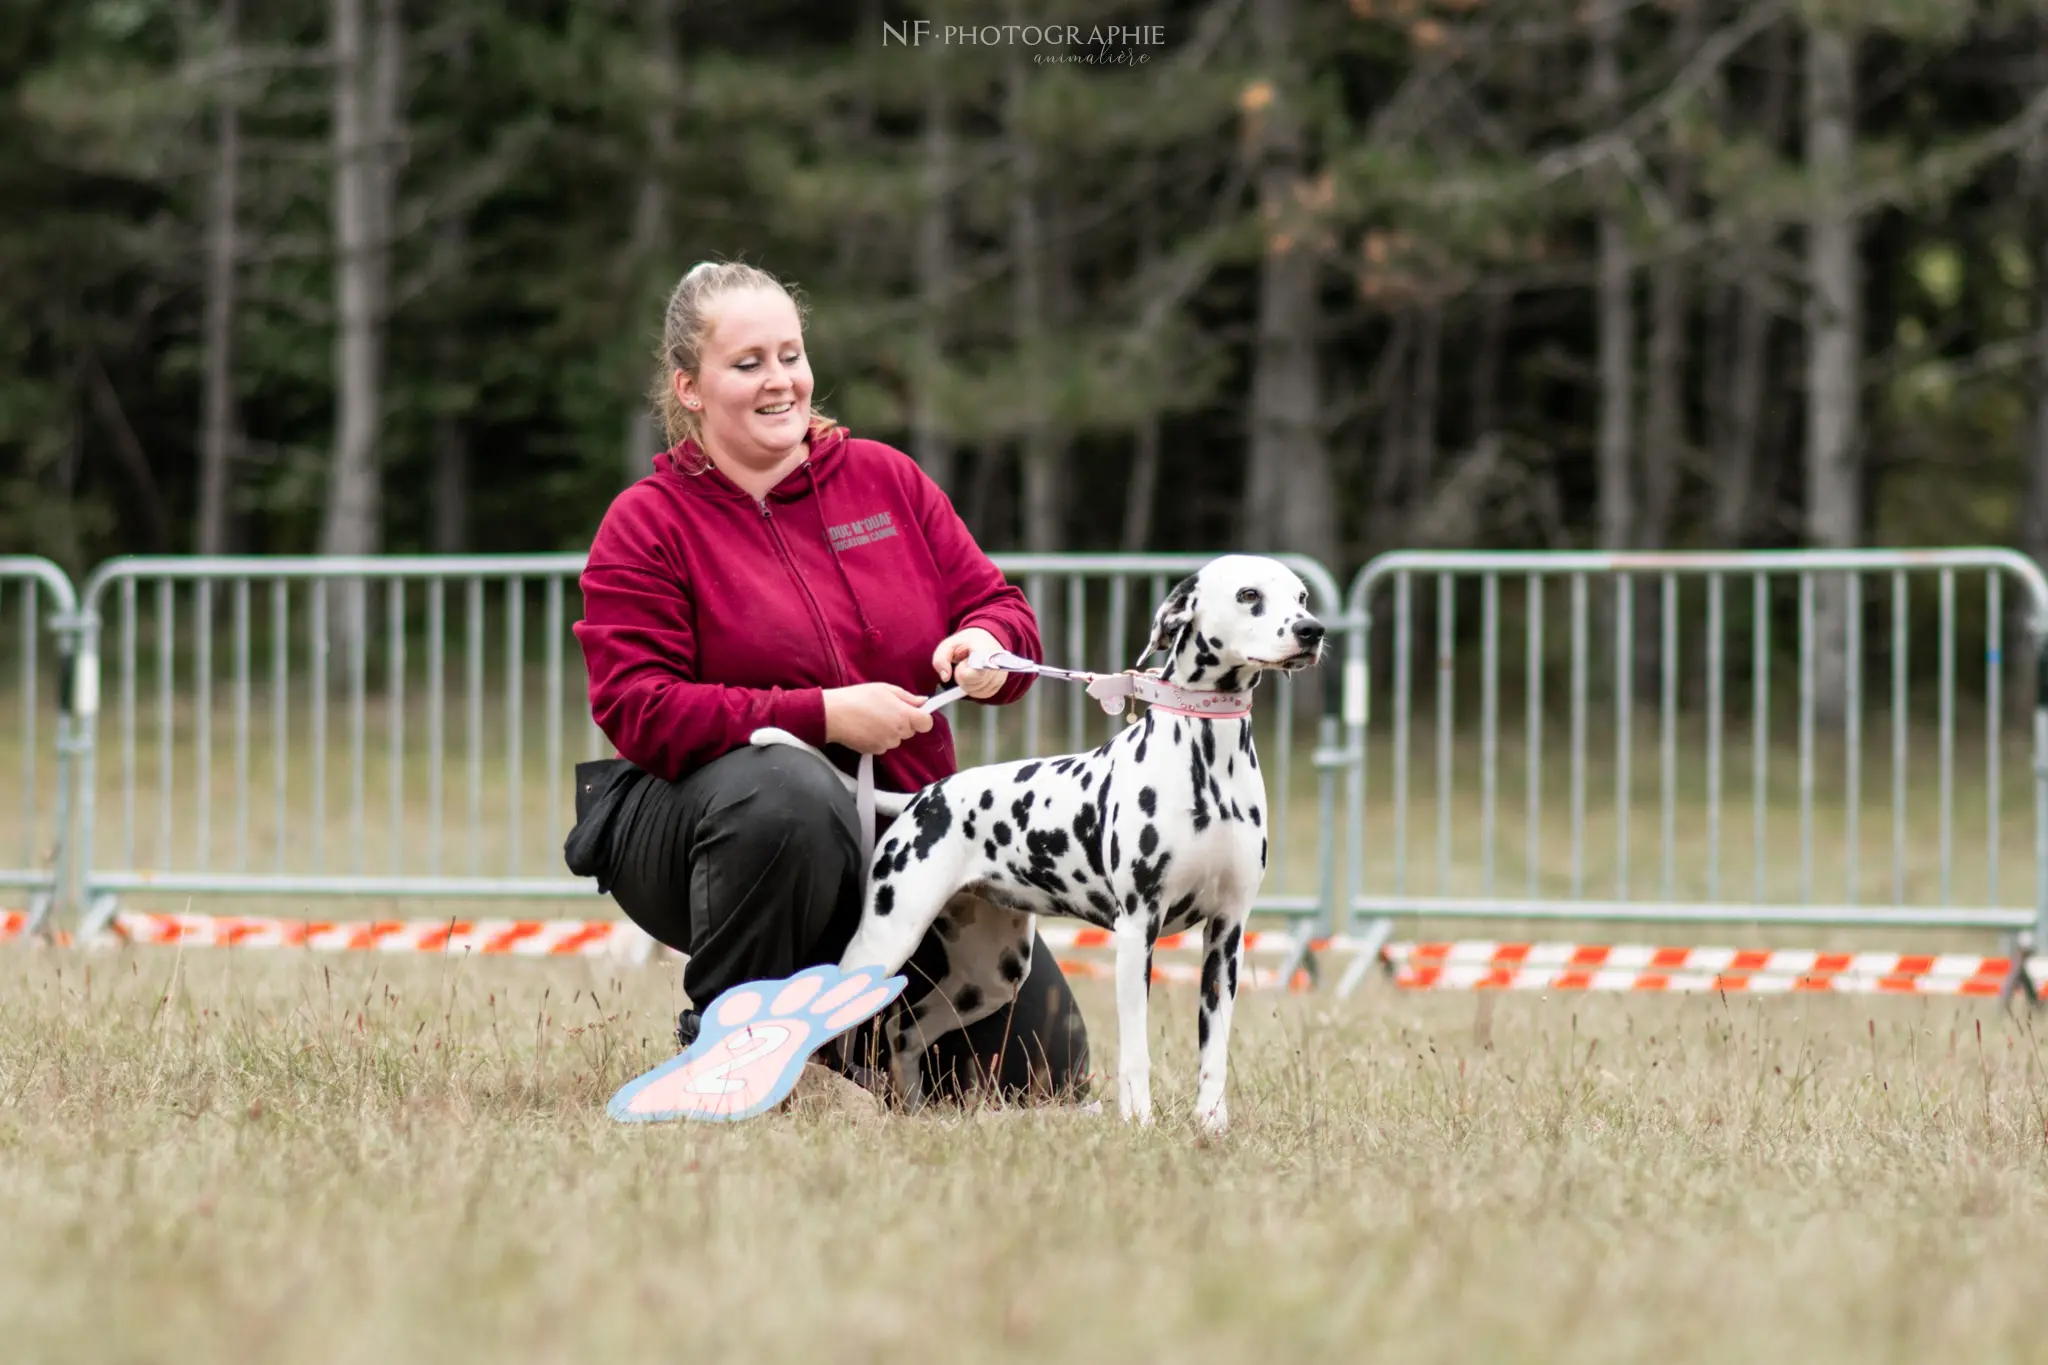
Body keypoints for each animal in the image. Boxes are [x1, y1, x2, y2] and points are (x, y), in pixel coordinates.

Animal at [757, 556, 1327, 1129]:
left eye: (1300, 596)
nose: (1312, 630)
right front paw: (1139, 1122)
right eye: (1249, 594)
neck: (1209, 759)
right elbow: (1136, 1053)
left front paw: (1211, 1124)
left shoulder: (1226, 936)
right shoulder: (1137, 932)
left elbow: (1214, 1052)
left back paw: (914, 1112)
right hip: (885, 941)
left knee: (904, 1033)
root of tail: (922, 798)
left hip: (990, 976)